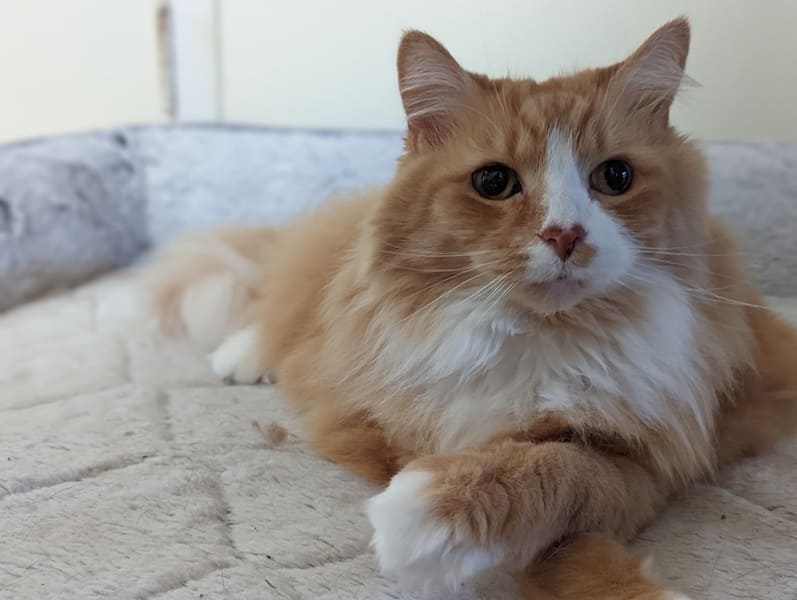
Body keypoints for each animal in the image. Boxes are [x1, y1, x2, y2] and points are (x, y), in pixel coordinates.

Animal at [146, 18, 796, 600]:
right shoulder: (395, 430)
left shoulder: (646, 464)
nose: (565, 235)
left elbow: (560, 477)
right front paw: (427, 520)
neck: (542, 339)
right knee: (278, 310)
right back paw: (240, 356)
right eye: (493, 183)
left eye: (615, 177)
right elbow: (542, 493)